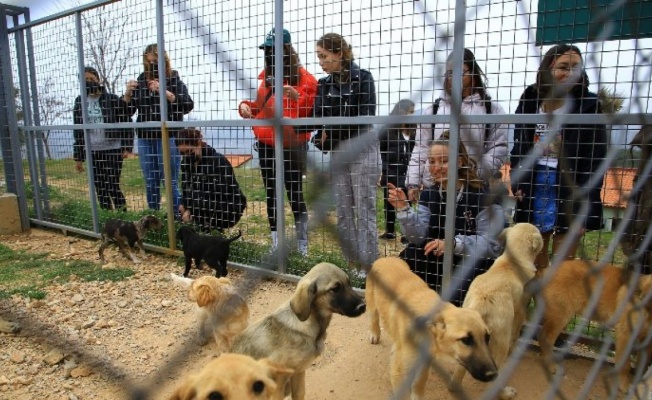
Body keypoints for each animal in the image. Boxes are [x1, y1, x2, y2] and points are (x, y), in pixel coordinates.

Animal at [230, 262, 366, 400]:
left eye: (349, 283)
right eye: (335, 289)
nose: (363, 306)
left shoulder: (298, 373)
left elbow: (299, 394)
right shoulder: (278, 382)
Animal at [364, 258, 496, 398]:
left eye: (487, 337)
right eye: (466, 340)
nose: (494, 374)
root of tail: (385, 258)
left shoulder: (424, 362)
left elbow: (419, 383)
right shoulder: (399, 369)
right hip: (372, 304)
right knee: (374, 318)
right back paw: (374, 334)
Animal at [448, 223, 544, 398]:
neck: (512, 261)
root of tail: (481, 302)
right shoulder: (521, 308)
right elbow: (516, 332)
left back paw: (454, 387)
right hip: (501, 337)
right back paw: (505, 393)